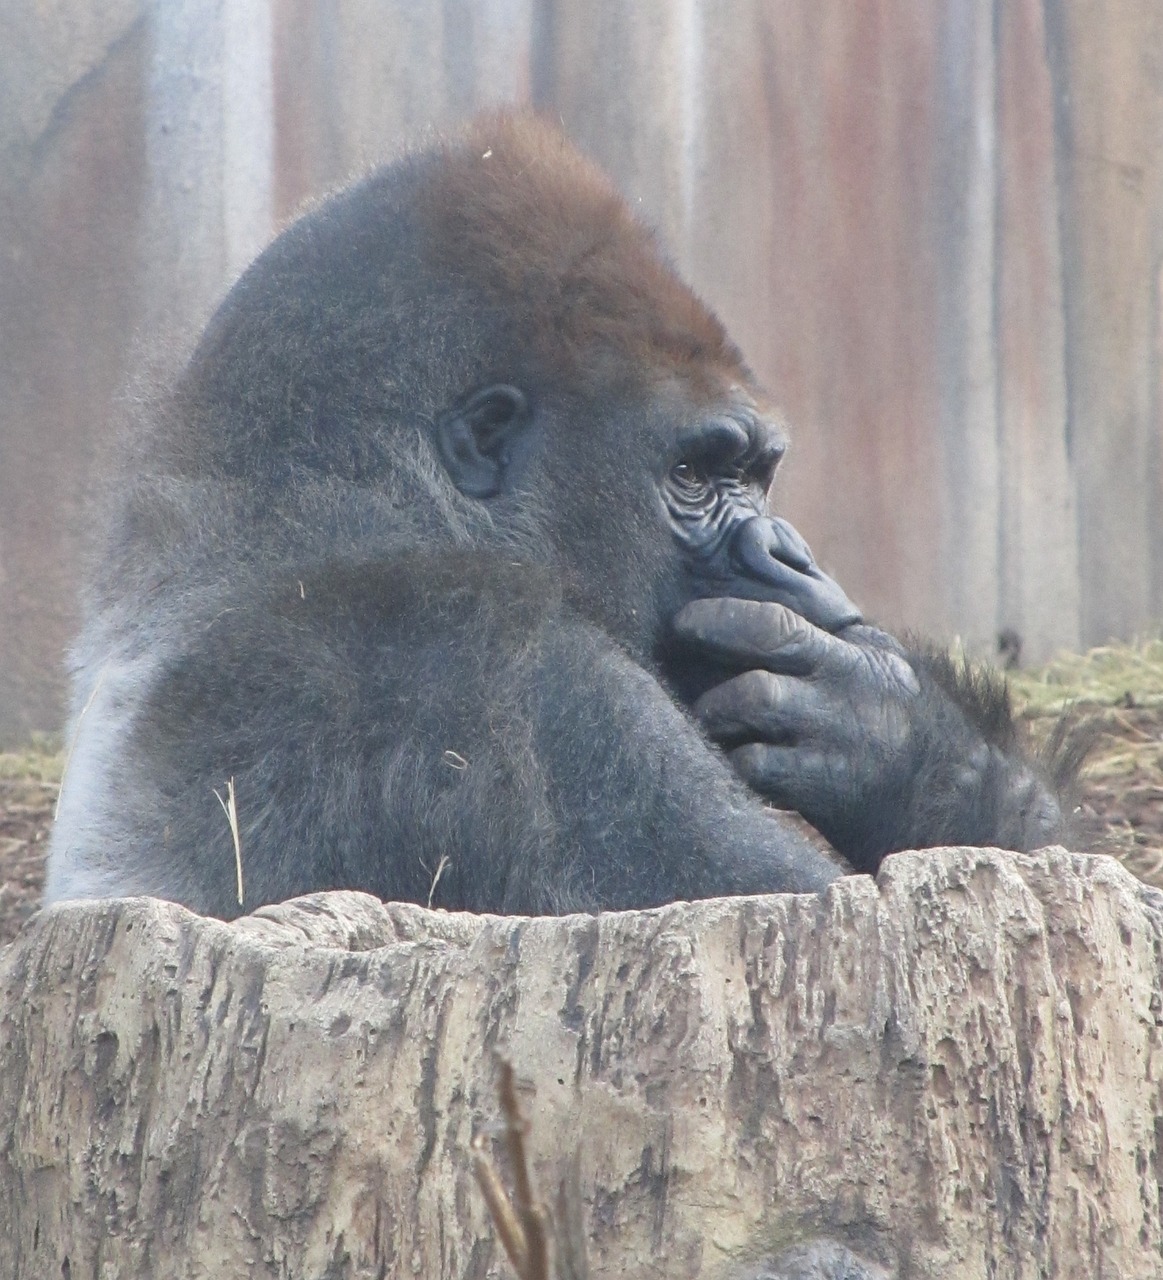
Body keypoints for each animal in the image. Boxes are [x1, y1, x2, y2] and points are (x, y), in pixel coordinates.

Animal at [45, 112, 1079, 921]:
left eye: (755, 474)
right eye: (694, 475)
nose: (793, 557)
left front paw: (891, 743)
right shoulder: (497, 665)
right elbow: (825, 907)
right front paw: (906, 744)